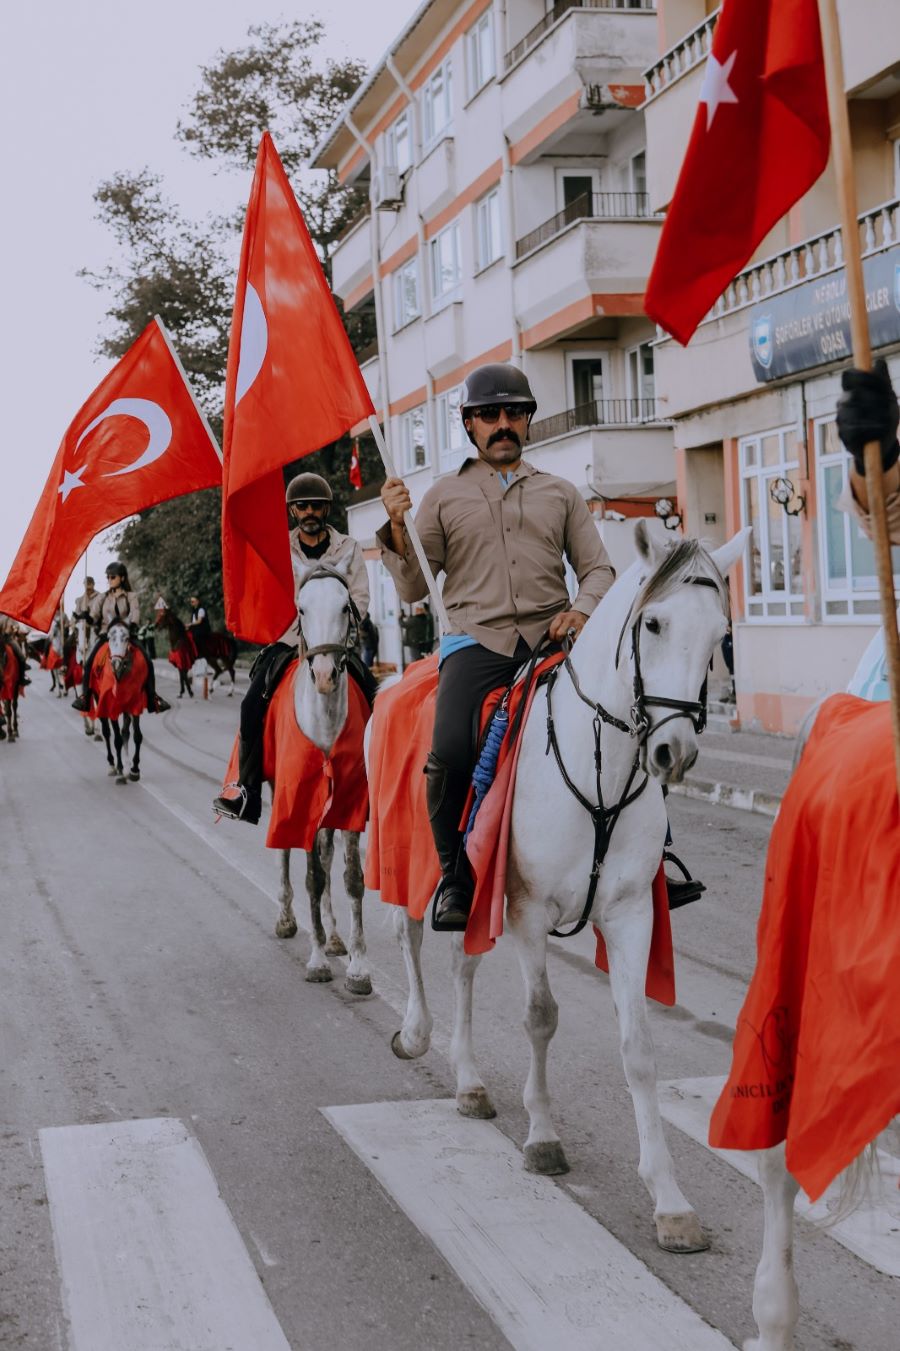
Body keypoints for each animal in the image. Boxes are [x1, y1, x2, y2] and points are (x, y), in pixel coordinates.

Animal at [389, 521, 745, 1248]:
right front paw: (544, 1137)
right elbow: (540, 1017)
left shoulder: (632, 914)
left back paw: (468, 1080)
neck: (597, 759)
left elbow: (639, 1047)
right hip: (414, 862)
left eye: (719, 631)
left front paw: (669, 1199)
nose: (674, 755)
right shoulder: (526, 911)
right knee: (408, 935)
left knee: (462, 963)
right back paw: (414, 1032)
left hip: (474, 895)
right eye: (654, 623)